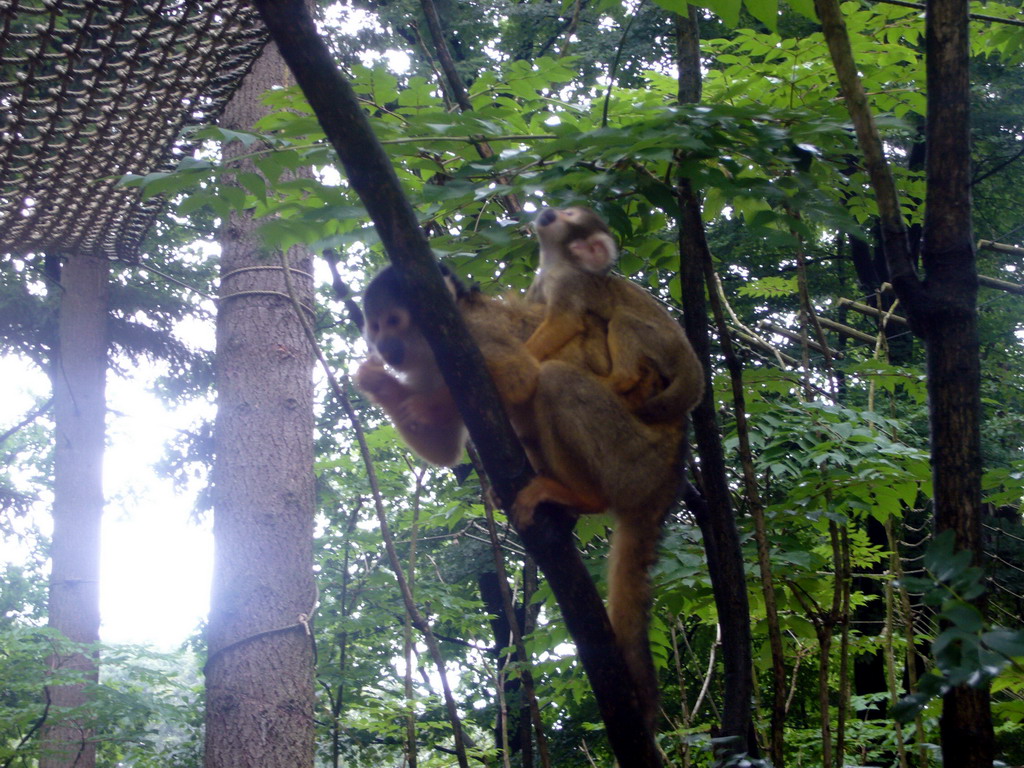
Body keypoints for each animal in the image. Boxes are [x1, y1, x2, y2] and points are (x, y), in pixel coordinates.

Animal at [528, 205, 704, 421]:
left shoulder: (568, 282)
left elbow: (565, 322)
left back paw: (617, 380)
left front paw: (524, 355)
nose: (551, 212)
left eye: (568, 215)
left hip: (665, 344)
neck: (555, 263)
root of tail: (691, 359)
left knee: (623, 320)